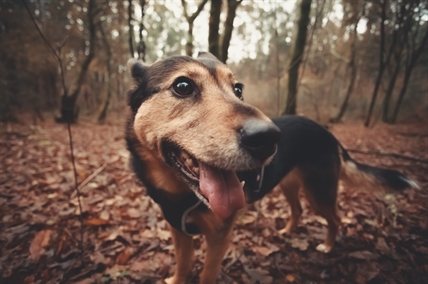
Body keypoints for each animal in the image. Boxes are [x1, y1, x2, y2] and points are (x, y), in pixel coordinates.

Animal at [126, 52, 418, 282]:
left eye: (238, 89)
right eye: (183, 86)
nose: (267, 138)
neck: (178, 192)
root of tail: (328, 133)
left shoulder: (219, 238)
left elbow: (206, 275)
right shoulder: (179, 232)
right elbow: (183, 266)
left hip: (319, 192)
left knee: (334, 218)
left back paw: (327, 246)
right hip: (290, 186)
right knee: (298, 210)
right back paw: (288, 232)